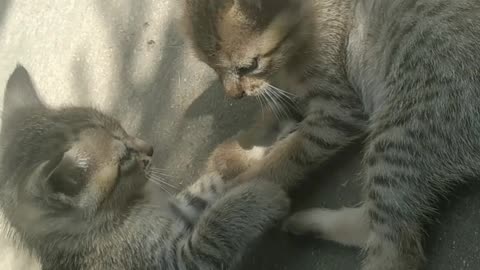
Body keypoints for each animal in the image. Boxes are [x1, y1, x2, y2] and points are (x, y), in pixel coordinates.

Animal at [0, 66, 288, 270]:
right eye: (124, 157)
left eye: (123, 128)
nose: (150, 148)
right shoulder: (178, 258)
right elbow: (216, 225)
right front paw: (263, 194)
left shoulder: (177, 209)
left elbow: (206, 188)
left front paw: (257, 154)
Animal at [182, 0, 480, 268]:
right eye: (213, 68)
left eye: (248, 66)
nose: (234, 95)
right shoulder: (290, 93)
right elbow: (272, 114)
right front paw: (234, 152)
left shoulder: (338, 110)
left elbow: (289, 154)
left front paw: (238, 186)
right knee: (371, 224)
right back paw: (308, 223)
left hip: (401, 130)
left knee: (394, 250)